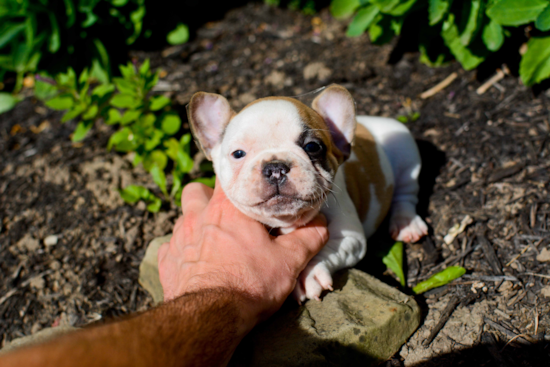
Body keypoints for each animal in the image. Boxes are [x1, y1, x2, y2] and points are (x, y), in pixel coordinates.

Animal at [188, 85, 430, 304]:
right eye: (238, 153)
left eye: (312, 147)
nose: (275, 167)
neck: (287, 221)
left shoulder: (349, 238)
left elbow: (326, 250)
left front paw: (309, 274)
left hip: (406, 152)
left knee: (406, 193)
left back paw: (406, 223)